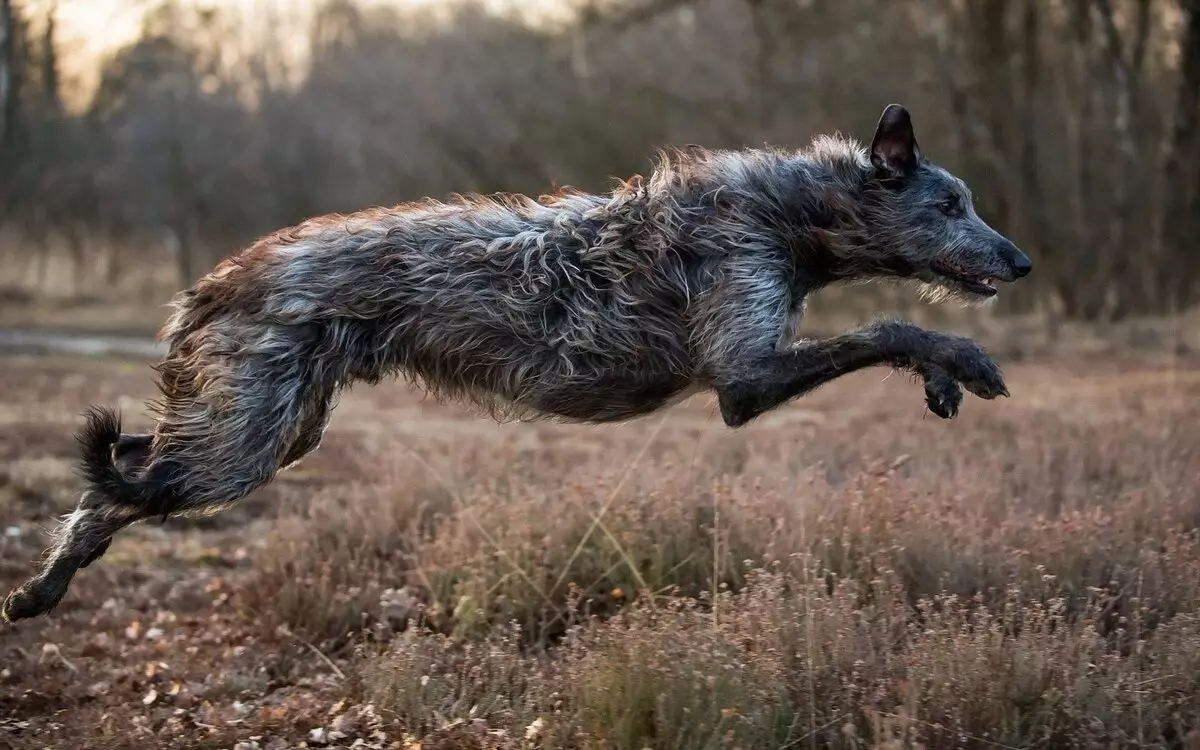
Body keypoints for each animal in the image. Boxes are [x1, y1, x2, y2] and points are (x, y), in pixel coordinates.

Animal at [2, 103, 1032, 619]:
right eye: (950, 205)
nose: (1021, 260)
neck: (787, 212)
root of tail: (213, 281)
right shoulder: (744, 372)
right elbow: (889, 327)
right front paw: (962, 362)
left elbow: (882, 332)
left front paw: (946, 374)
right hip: (244, 441)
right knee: (113, 488)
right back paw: (42, 585)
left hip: (276, 427)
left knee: (130, 471)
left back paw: (42, 591)